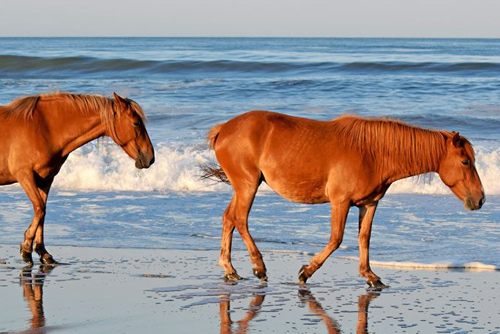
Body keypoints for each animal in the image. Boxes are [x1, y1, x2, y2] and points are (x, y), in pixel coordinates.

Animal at [0, 92, 154, 266]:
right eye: (136, 123)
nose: (150, 158)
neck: (43, 129)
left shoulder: (45, 179)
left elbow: (42, 212)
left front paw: (43, 252)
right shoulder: (24, 175)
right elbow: (39, 208)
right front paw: (26, 248)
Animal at [204, 111, 484, 288]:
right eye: (465, 162)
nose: (480, 199)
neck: (373, 153)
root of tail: (223, 129)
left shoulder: (369, 203)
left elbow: (364, 238)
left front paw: (371, 276)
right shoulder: (340, 202)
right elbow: (336, 239)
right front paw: (306, 272)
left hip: (243, 187)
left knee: (229, 218)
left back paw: (230, 270)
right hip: (248, 186)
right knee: (240, 219)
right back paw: (258, 267)